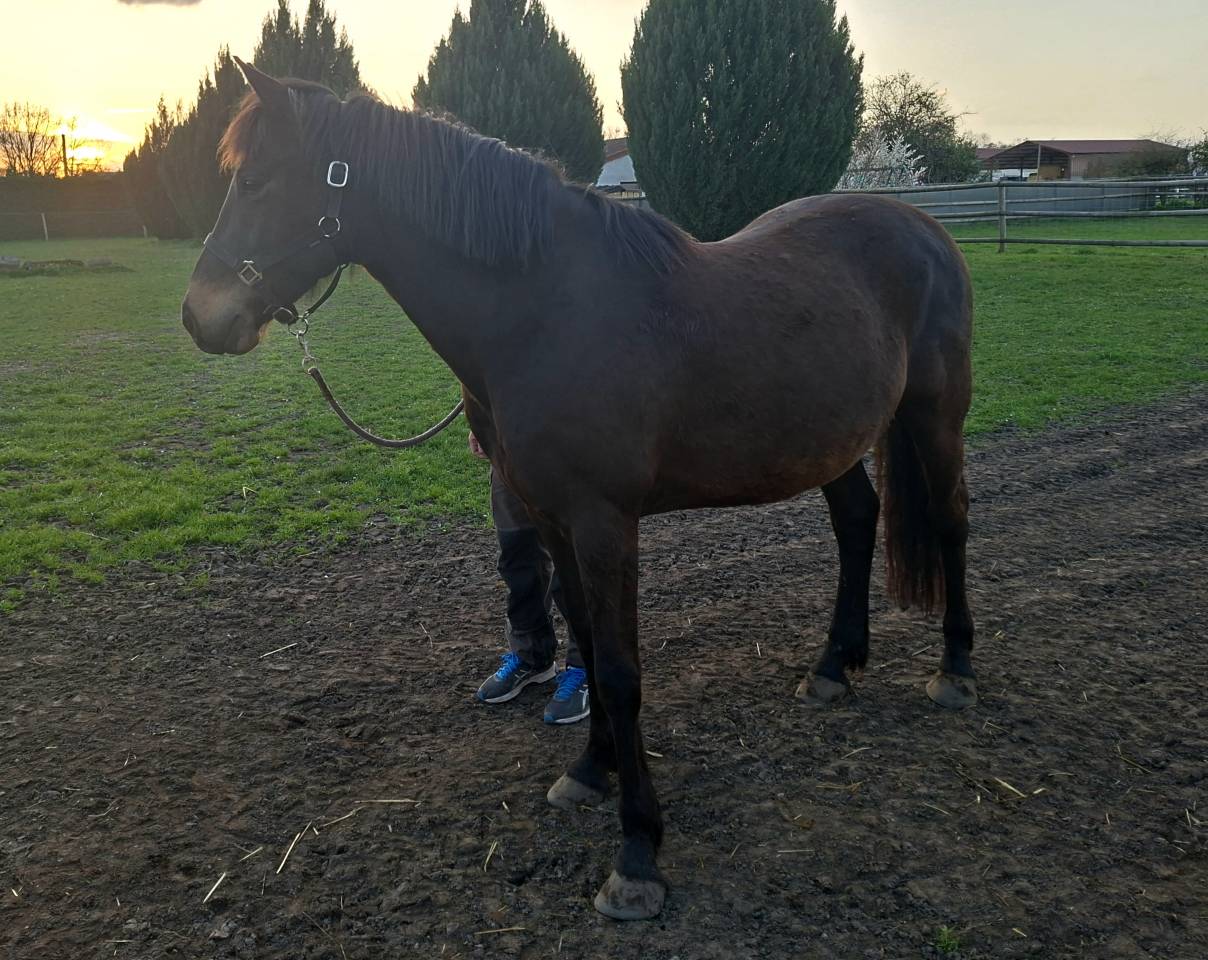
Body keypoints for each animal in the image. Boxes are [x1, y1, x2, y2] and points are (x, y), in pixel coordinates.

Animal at [182, 60, 977, 921]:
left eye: (256, 181)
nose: (199, 318)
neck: (547, 310)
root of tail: (921, 226)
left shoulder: (605, 524)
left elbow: (622, 674)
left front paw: (638, 853)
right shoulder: (551, 517)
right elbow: (589, 648)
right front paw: (590, 773)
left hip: (936, 417)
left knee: (952, 523)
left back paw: (956, 670)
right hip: (830, 442)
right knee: (859, 521)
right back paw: (834, 665)